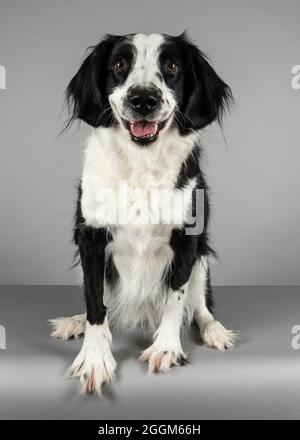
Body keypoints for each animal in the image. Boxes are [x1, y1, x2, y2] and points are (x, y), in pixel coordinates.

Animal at [49, 31, 237, 396]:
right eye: (120, 64)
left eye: (173, 66)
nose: (143, 100)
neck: (141, 164)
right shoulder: (90, 238)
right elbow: (95, 302)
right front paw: (95, 357)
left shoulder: (187, 240)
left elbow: (175, 298)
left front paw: (166, 347)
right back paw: (76, 323)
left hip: (202, 259)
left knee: (200, 305)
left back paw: (214, 329)